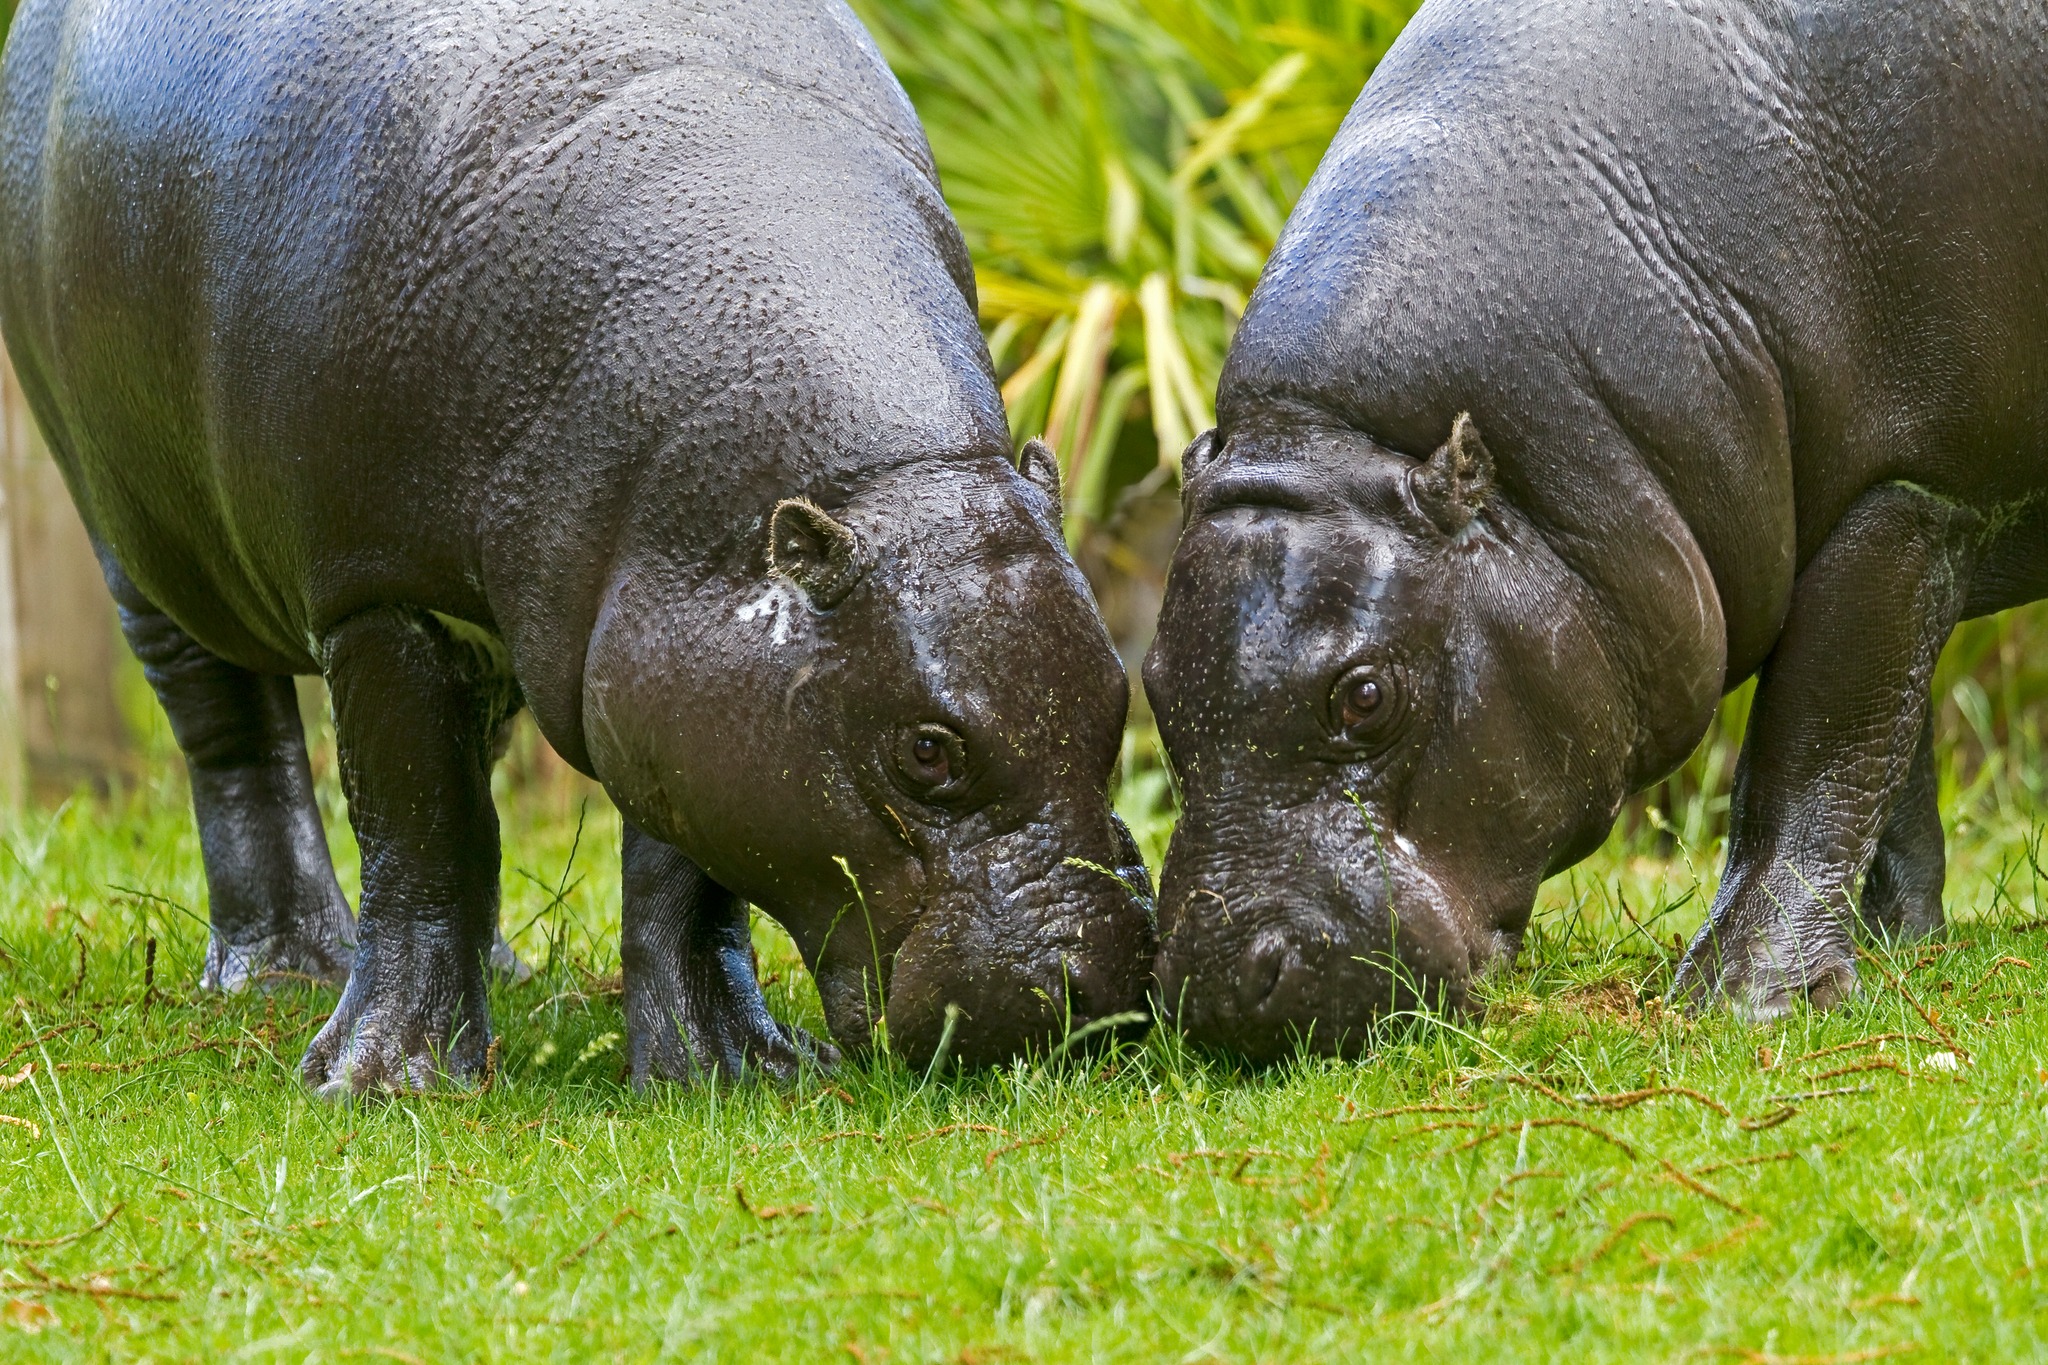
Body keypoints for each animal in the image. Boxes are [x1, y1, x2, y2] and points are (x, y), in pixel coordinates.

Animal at [0, 0, 1154, 1094]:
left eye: (1119, 698)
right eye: (926, 750)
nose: (1093, 990)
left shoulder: (672, 649)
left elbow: (680, 873)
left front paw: (733, 1071)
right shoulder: (380, 591)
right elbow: (418, 823)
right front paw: (379, 1084)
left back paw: (500, 973)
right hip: (130, 530)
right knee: (233, 737)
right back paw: (285, 974)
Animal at [1143, 0, 2048, 1059]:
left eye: (1365, 696)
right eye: (1149, 686)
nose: (1213, 987)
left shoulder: (1911, 492)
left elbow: (1816, 744)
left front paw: (1744, 1001)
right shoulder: (1876, 524)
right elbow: (1889, 758)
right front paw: (1898, 945)